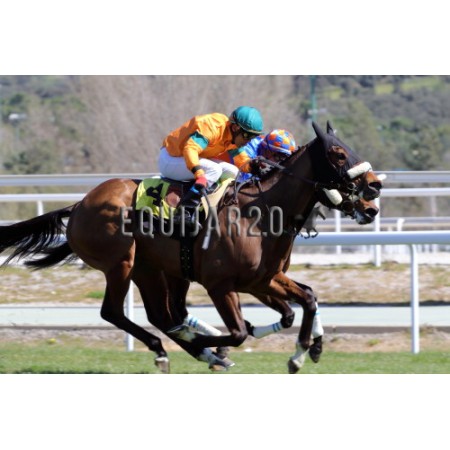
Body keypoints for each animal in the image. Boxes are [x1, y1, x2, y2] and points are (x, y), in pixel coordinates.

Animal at [0, 121, 382, 374]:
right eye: (338, 153)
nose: (374, 191)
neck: (260, 212)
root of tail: (79, 205)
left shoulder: (263, 279)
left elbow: (305, 301)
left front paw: (304, 350)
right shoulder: (221, 284)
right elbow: (240, 331)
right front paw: (214, 344)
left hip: (152, 269)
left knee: (164, 315)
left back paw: (193, 348)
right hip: (121, 263)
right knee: (116, 313)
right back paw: (174, 350)